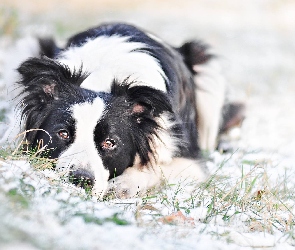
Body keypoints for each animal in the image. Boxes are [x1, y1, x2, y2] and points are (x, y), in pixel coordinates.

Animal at [15, 23, 245, 199]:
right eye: (62, 133)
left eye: (110, 142)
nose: (80, 179)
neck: (102, 80)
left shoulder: (191, 162)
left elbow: (155, 167)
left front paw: (123, 184)